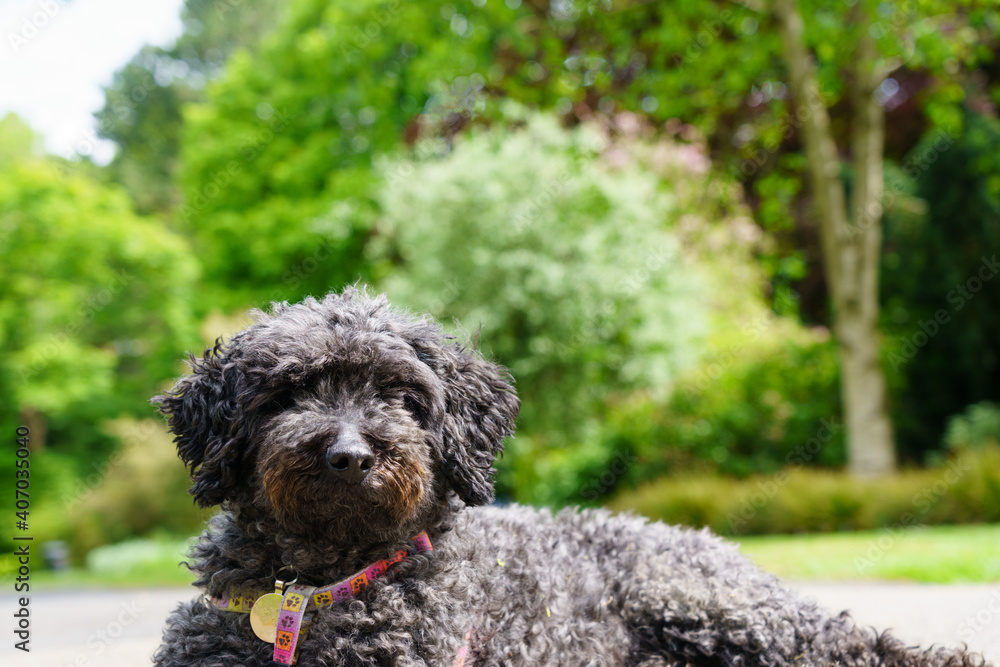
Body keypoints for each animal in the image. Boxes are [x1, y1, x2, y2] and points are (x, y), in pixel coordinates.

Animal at [150, 288, 984, 667]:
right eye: (288, 393)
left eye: (400, 395)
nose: (350, 454)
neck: (313, 589)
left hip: (719, 611)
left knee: (850, 641)